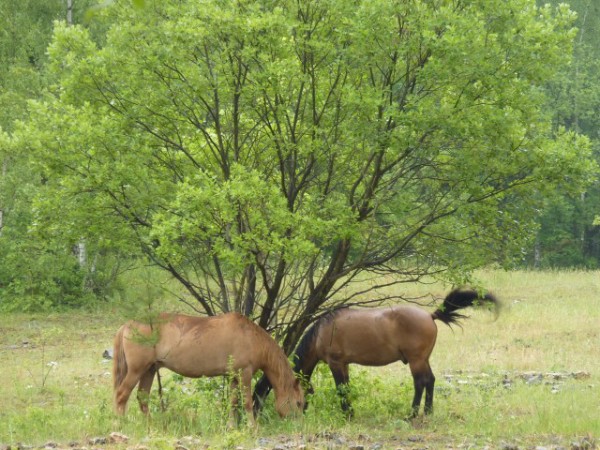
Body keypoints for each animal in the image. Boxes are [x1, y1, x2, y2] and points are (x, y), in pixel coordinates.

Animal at [111, 312, 304, 424]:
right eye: (299, 403)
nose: (298, 425)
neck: (250, 337)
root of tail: (127, 324)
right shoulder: (244, 374)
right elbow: (247, 402)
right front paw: (253, 428)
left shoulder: (234, 376)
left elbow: (233, 403)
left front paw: (231, 427)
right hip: (136, 370)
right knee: (121, 395)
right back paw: (121, 424)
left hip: (149, 370)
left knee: (142, 398)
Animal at [290, 288, 496, 418]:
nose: (297, 416)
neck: (322, 332)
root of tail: (430, 315)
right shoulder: (344, 364)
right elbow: (346, 387)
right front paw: (350, 412)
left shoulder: (336, 363)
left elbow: (341, 389)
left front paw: (347, 414)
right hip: (423, 360)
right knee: (430, 380)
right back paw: (428, 412)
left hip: (416, 361)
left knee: (420, 382)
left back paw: (412, 414)